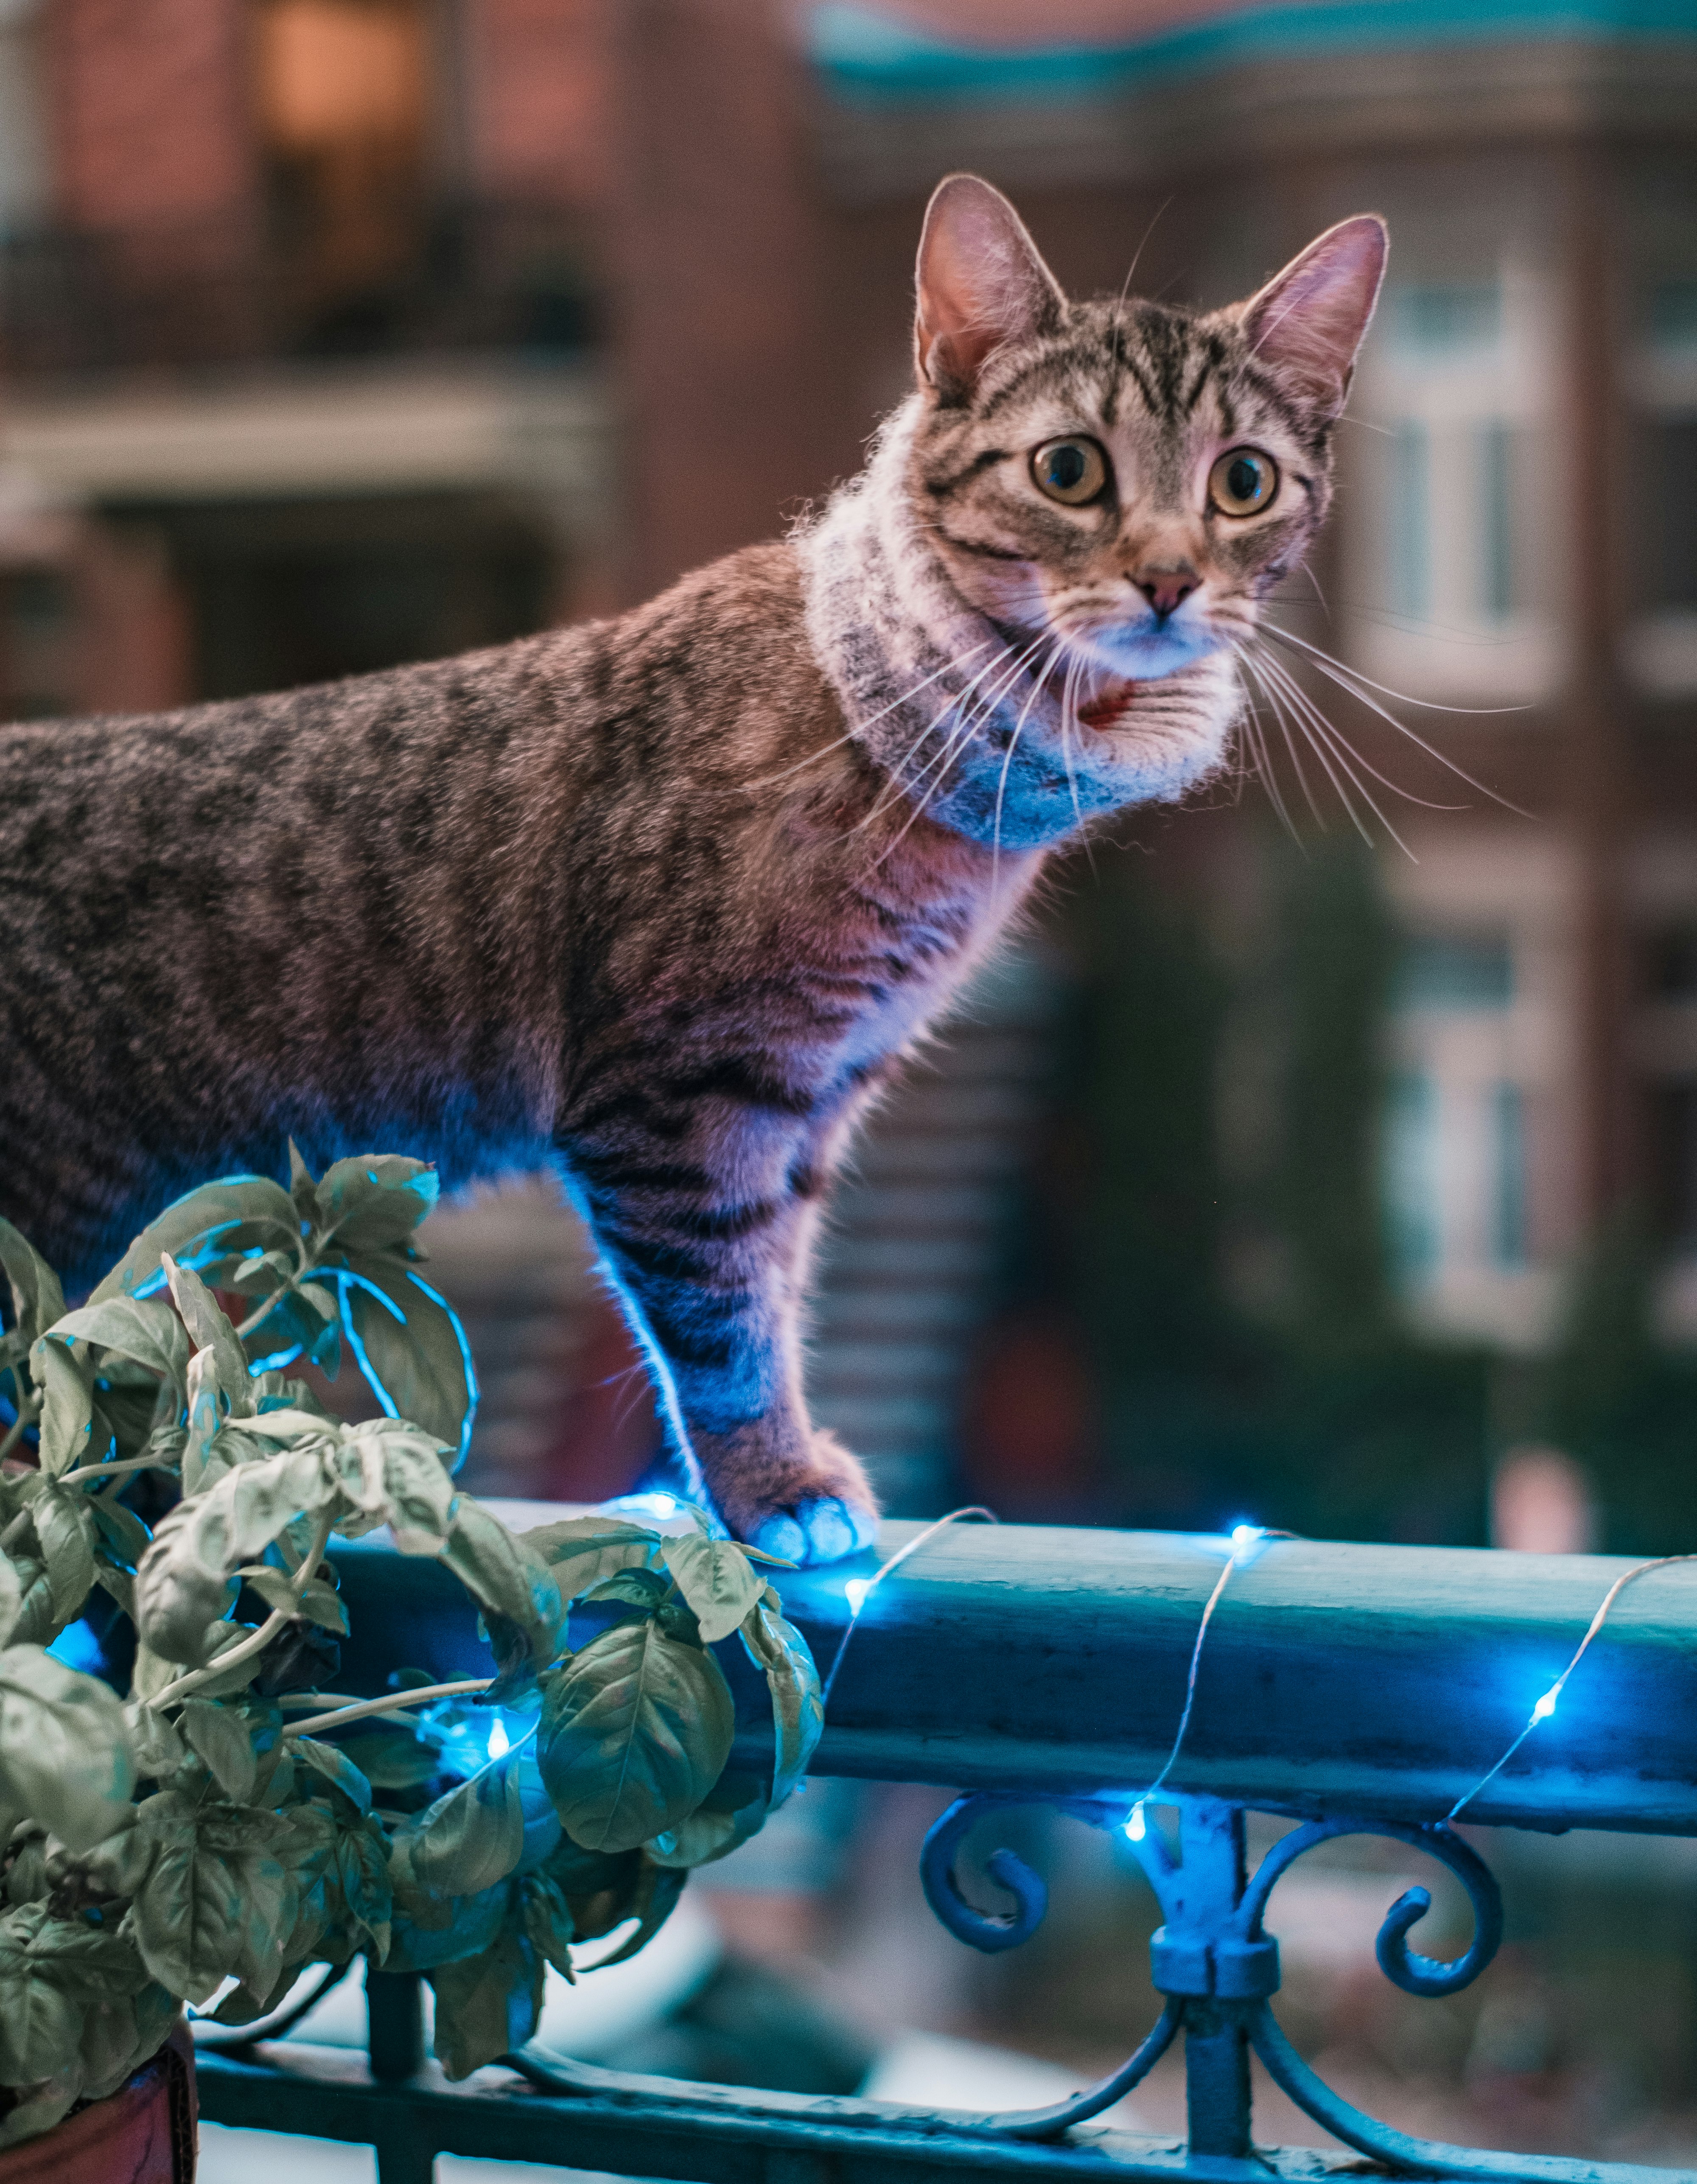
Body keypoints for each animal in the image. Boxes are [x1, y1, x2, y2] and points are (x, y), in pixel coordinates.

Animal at [0, 179, 1380, 1563]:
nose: (1168, 578)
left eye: (1243, 481)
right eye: (1069, 468)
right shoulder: (678, 1096)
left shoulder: (811, 1097)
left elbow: (778, 1282)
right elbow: (722, 1321)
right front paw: (775, 1484)